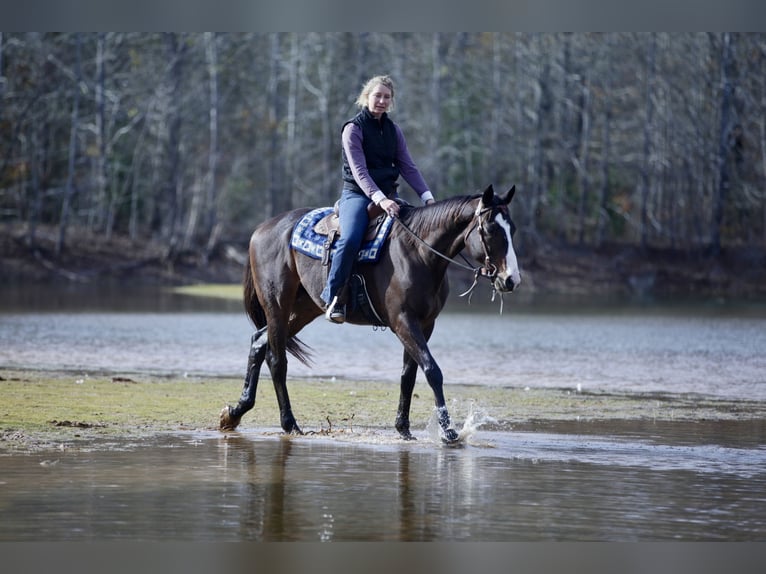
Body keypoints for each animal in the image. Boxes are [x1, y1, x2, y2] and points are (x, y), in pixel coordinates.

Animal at [219, 184, 521, 444]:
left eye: (513, 229)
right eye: (491, 229)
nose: (511, 280)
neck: (417, 253)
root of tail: (262, 229)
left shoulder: (425, 324)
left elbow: (409, 374)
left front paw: (403, 428)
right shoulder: (403, 321)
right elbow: (432, 370)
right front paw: (448, 431)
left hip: (304, 309)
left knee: (259, 342)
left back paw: (234, 413)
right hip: (277, 306)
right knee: (276, 359)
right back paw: (289, 424)